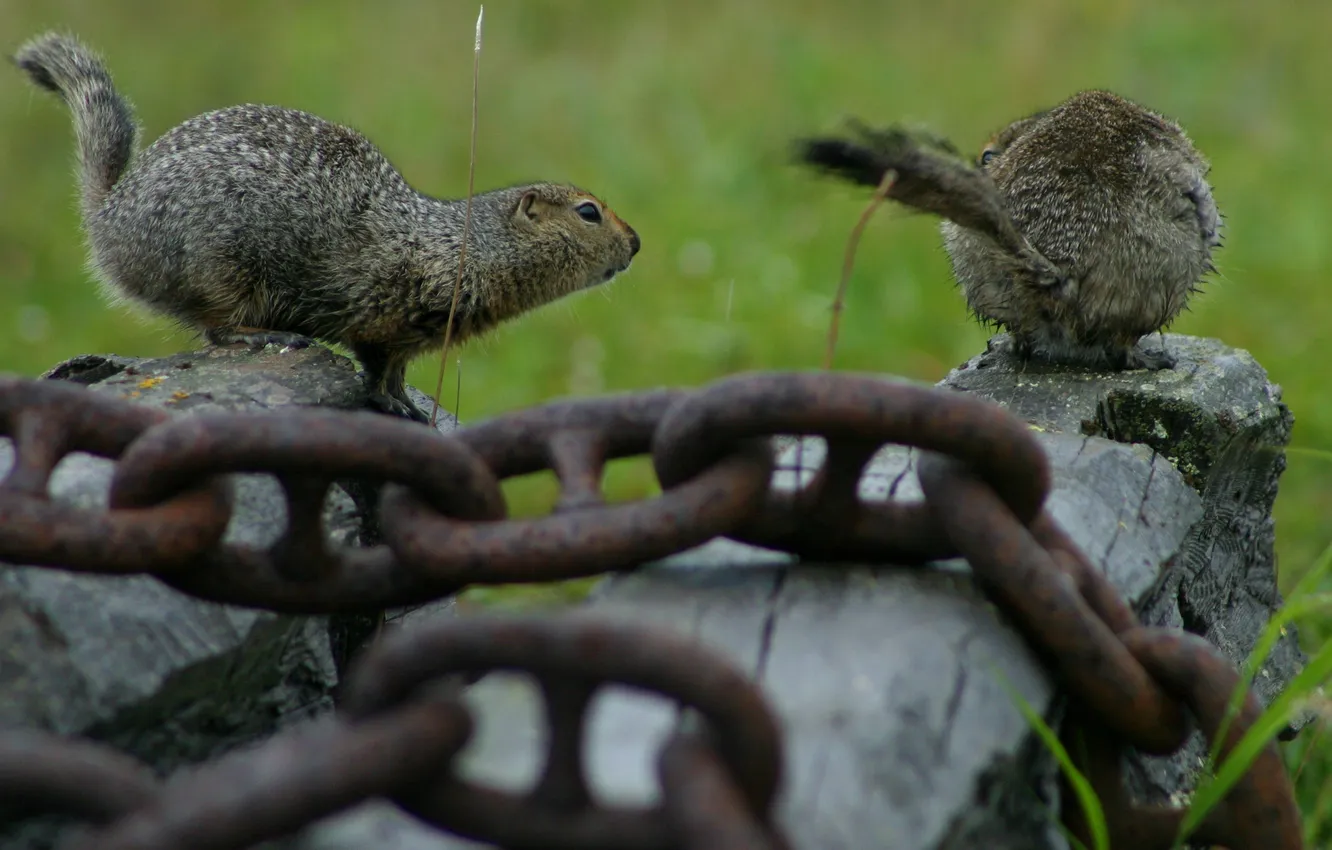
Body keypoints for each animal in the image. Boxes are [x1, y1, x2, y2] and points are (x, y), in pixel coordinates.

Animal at [13, 32, 641, 422]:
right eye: (588, 212)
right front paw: (395, 405)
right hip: (222, 269)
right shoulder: (388, 313)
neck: (461, 246)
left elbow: (396, 370)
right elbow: (377, 368)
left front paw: (409, 405)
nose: (636, 243)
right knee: (216, 328)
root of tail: (107, 214)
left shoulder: (411, 334)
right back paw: (263, 334)